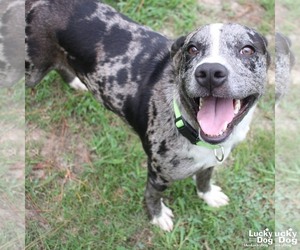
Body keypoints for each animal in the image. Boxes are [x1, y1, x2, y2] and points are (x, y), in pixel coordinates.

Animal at [25, 0, 270, 231]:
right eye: (192, 49)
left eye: (247, 50)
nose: (209, 72)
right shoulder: (157, 175)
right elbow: (152, 196)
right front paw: (157, 216)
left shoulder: (212, 160)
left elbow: (204, 177)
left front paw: (207, 195)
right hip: (31, 69)